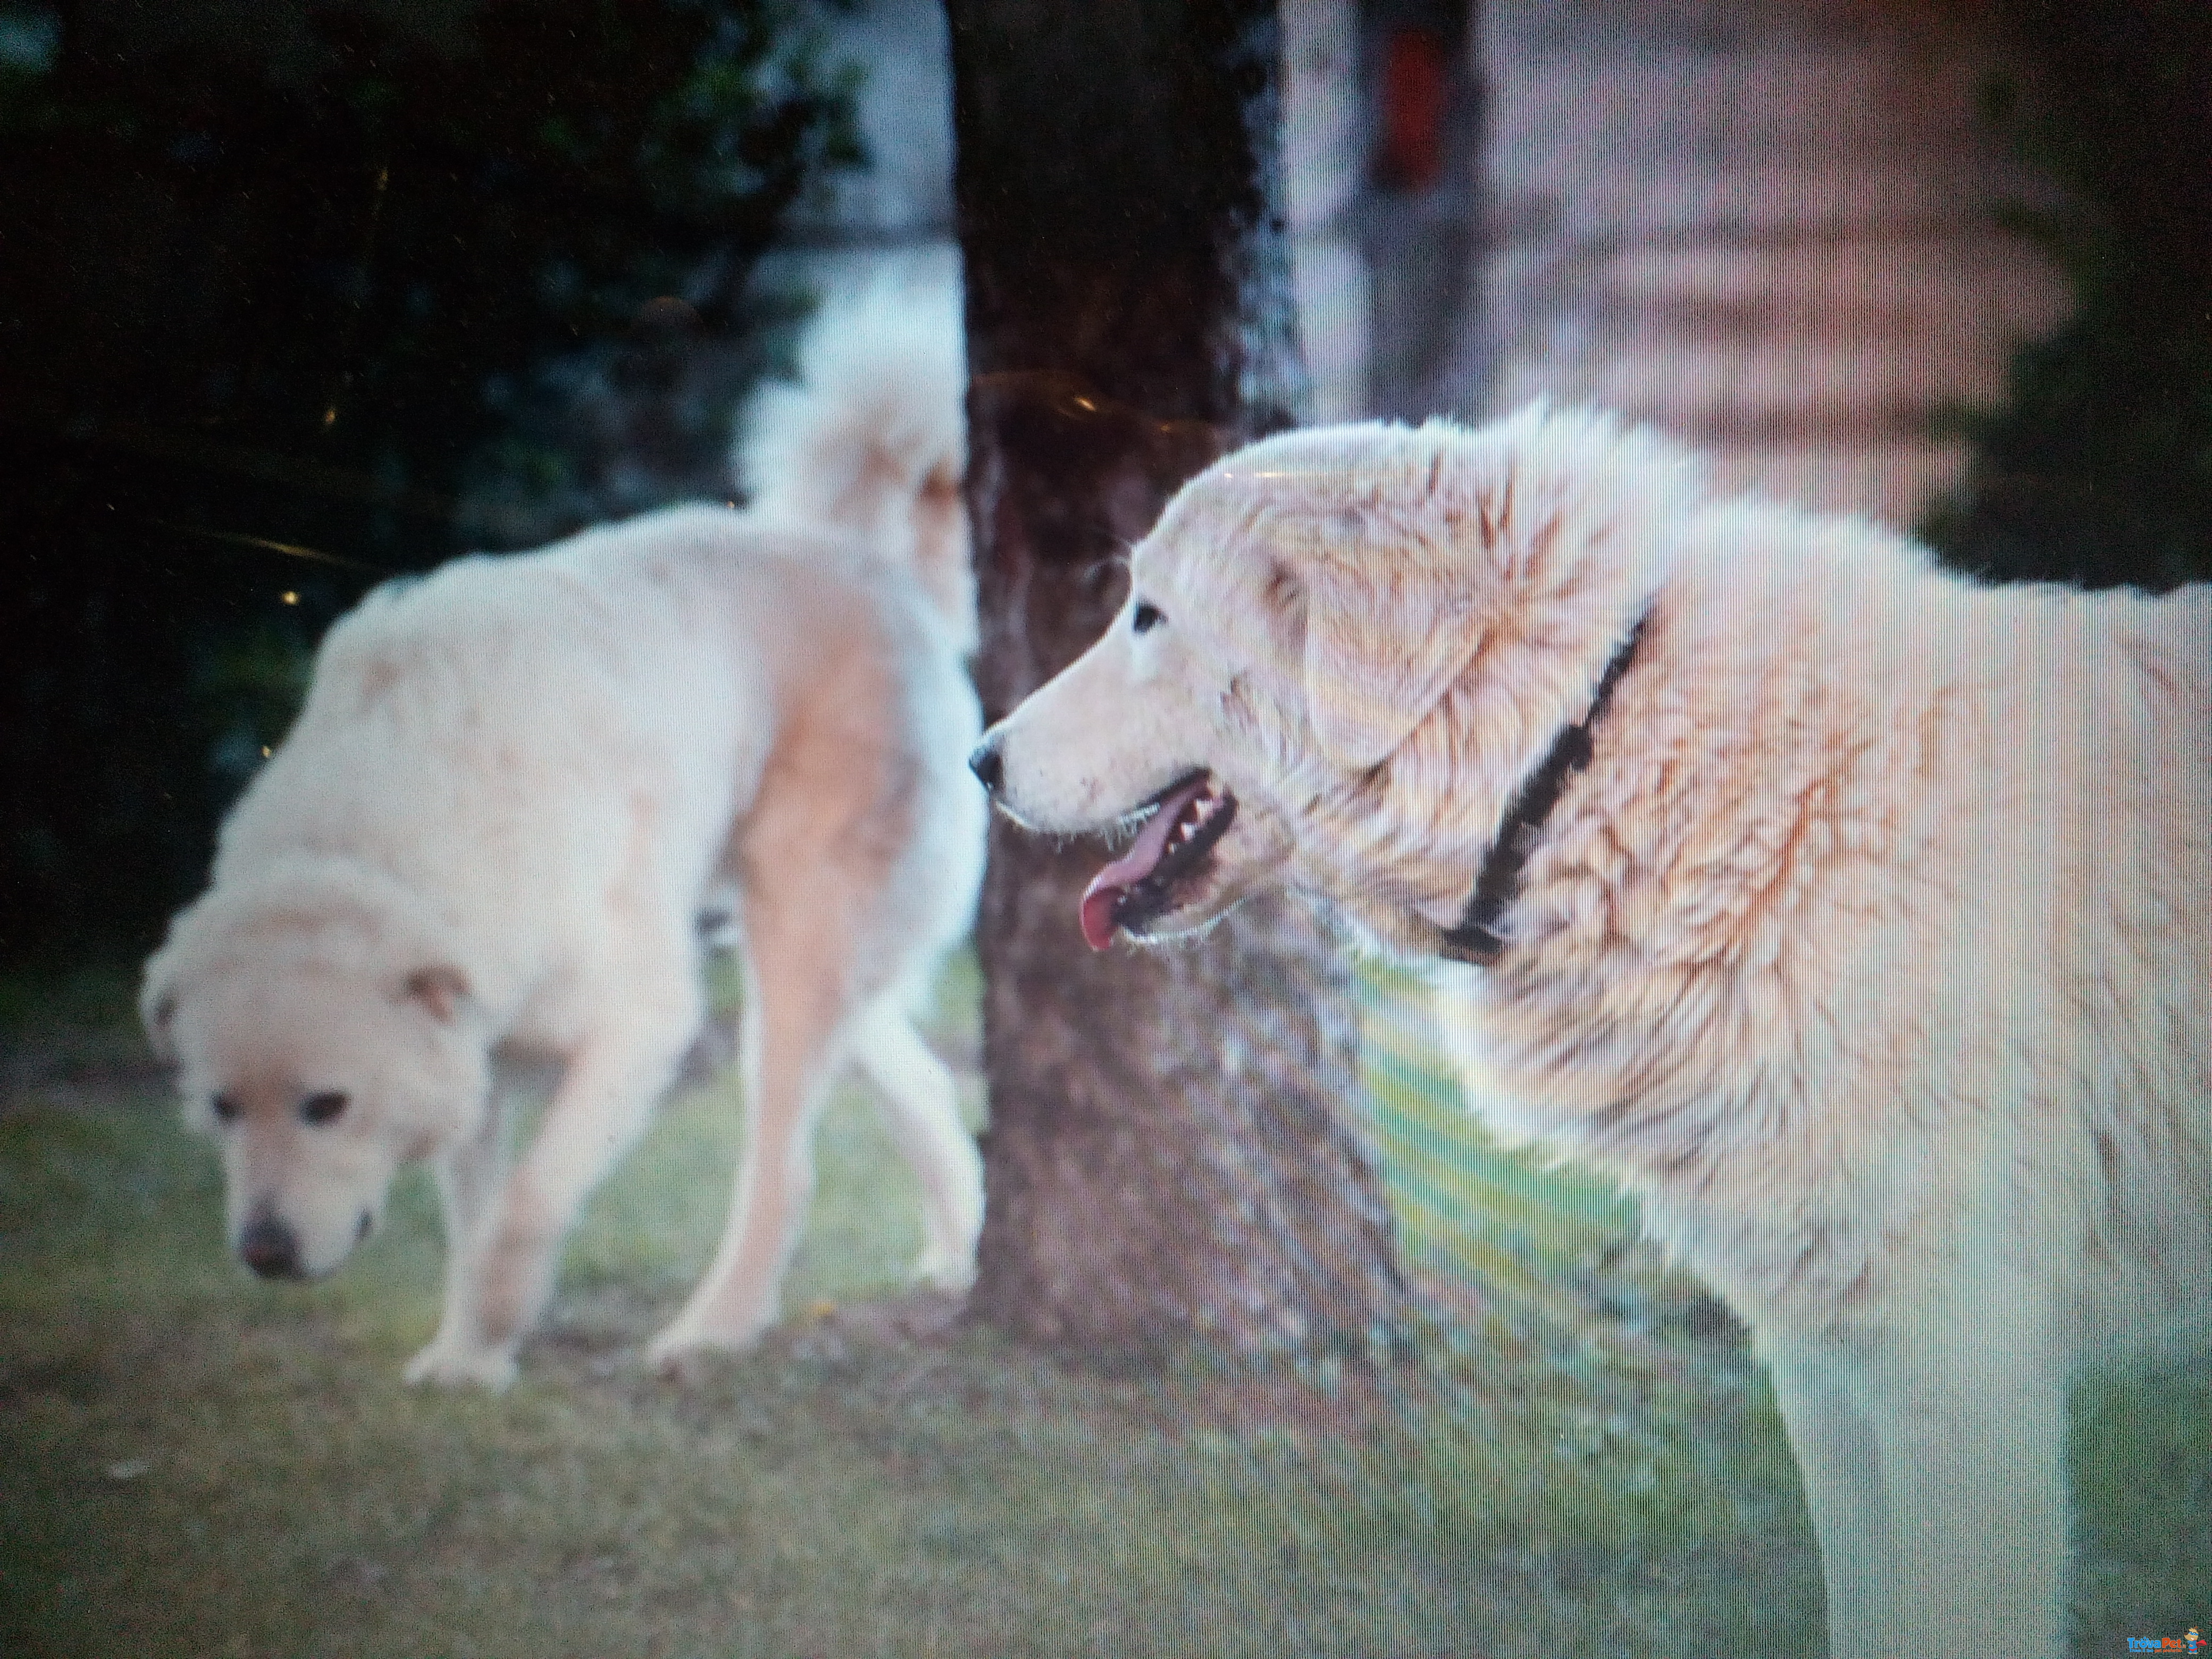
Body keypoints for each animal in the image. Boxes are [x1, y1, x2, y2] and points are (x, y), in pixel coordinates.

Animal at [140, 285, 986, 1389]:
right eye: (222, 1109)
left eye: (327, 1104)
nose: (264, 1255)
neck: (390, 839)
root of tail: (874, 565)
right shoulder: (478, 1054)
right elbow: (474, 1216)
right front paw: (465, 1357)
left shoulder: (641, 1024)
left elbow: (529, 1204)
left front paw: (501, 1318)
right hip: (809, 953)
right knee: (916, 1079)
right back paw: (959, 1250)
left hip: (796, 947)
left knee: (786, 1168)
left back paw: (711, 1331)